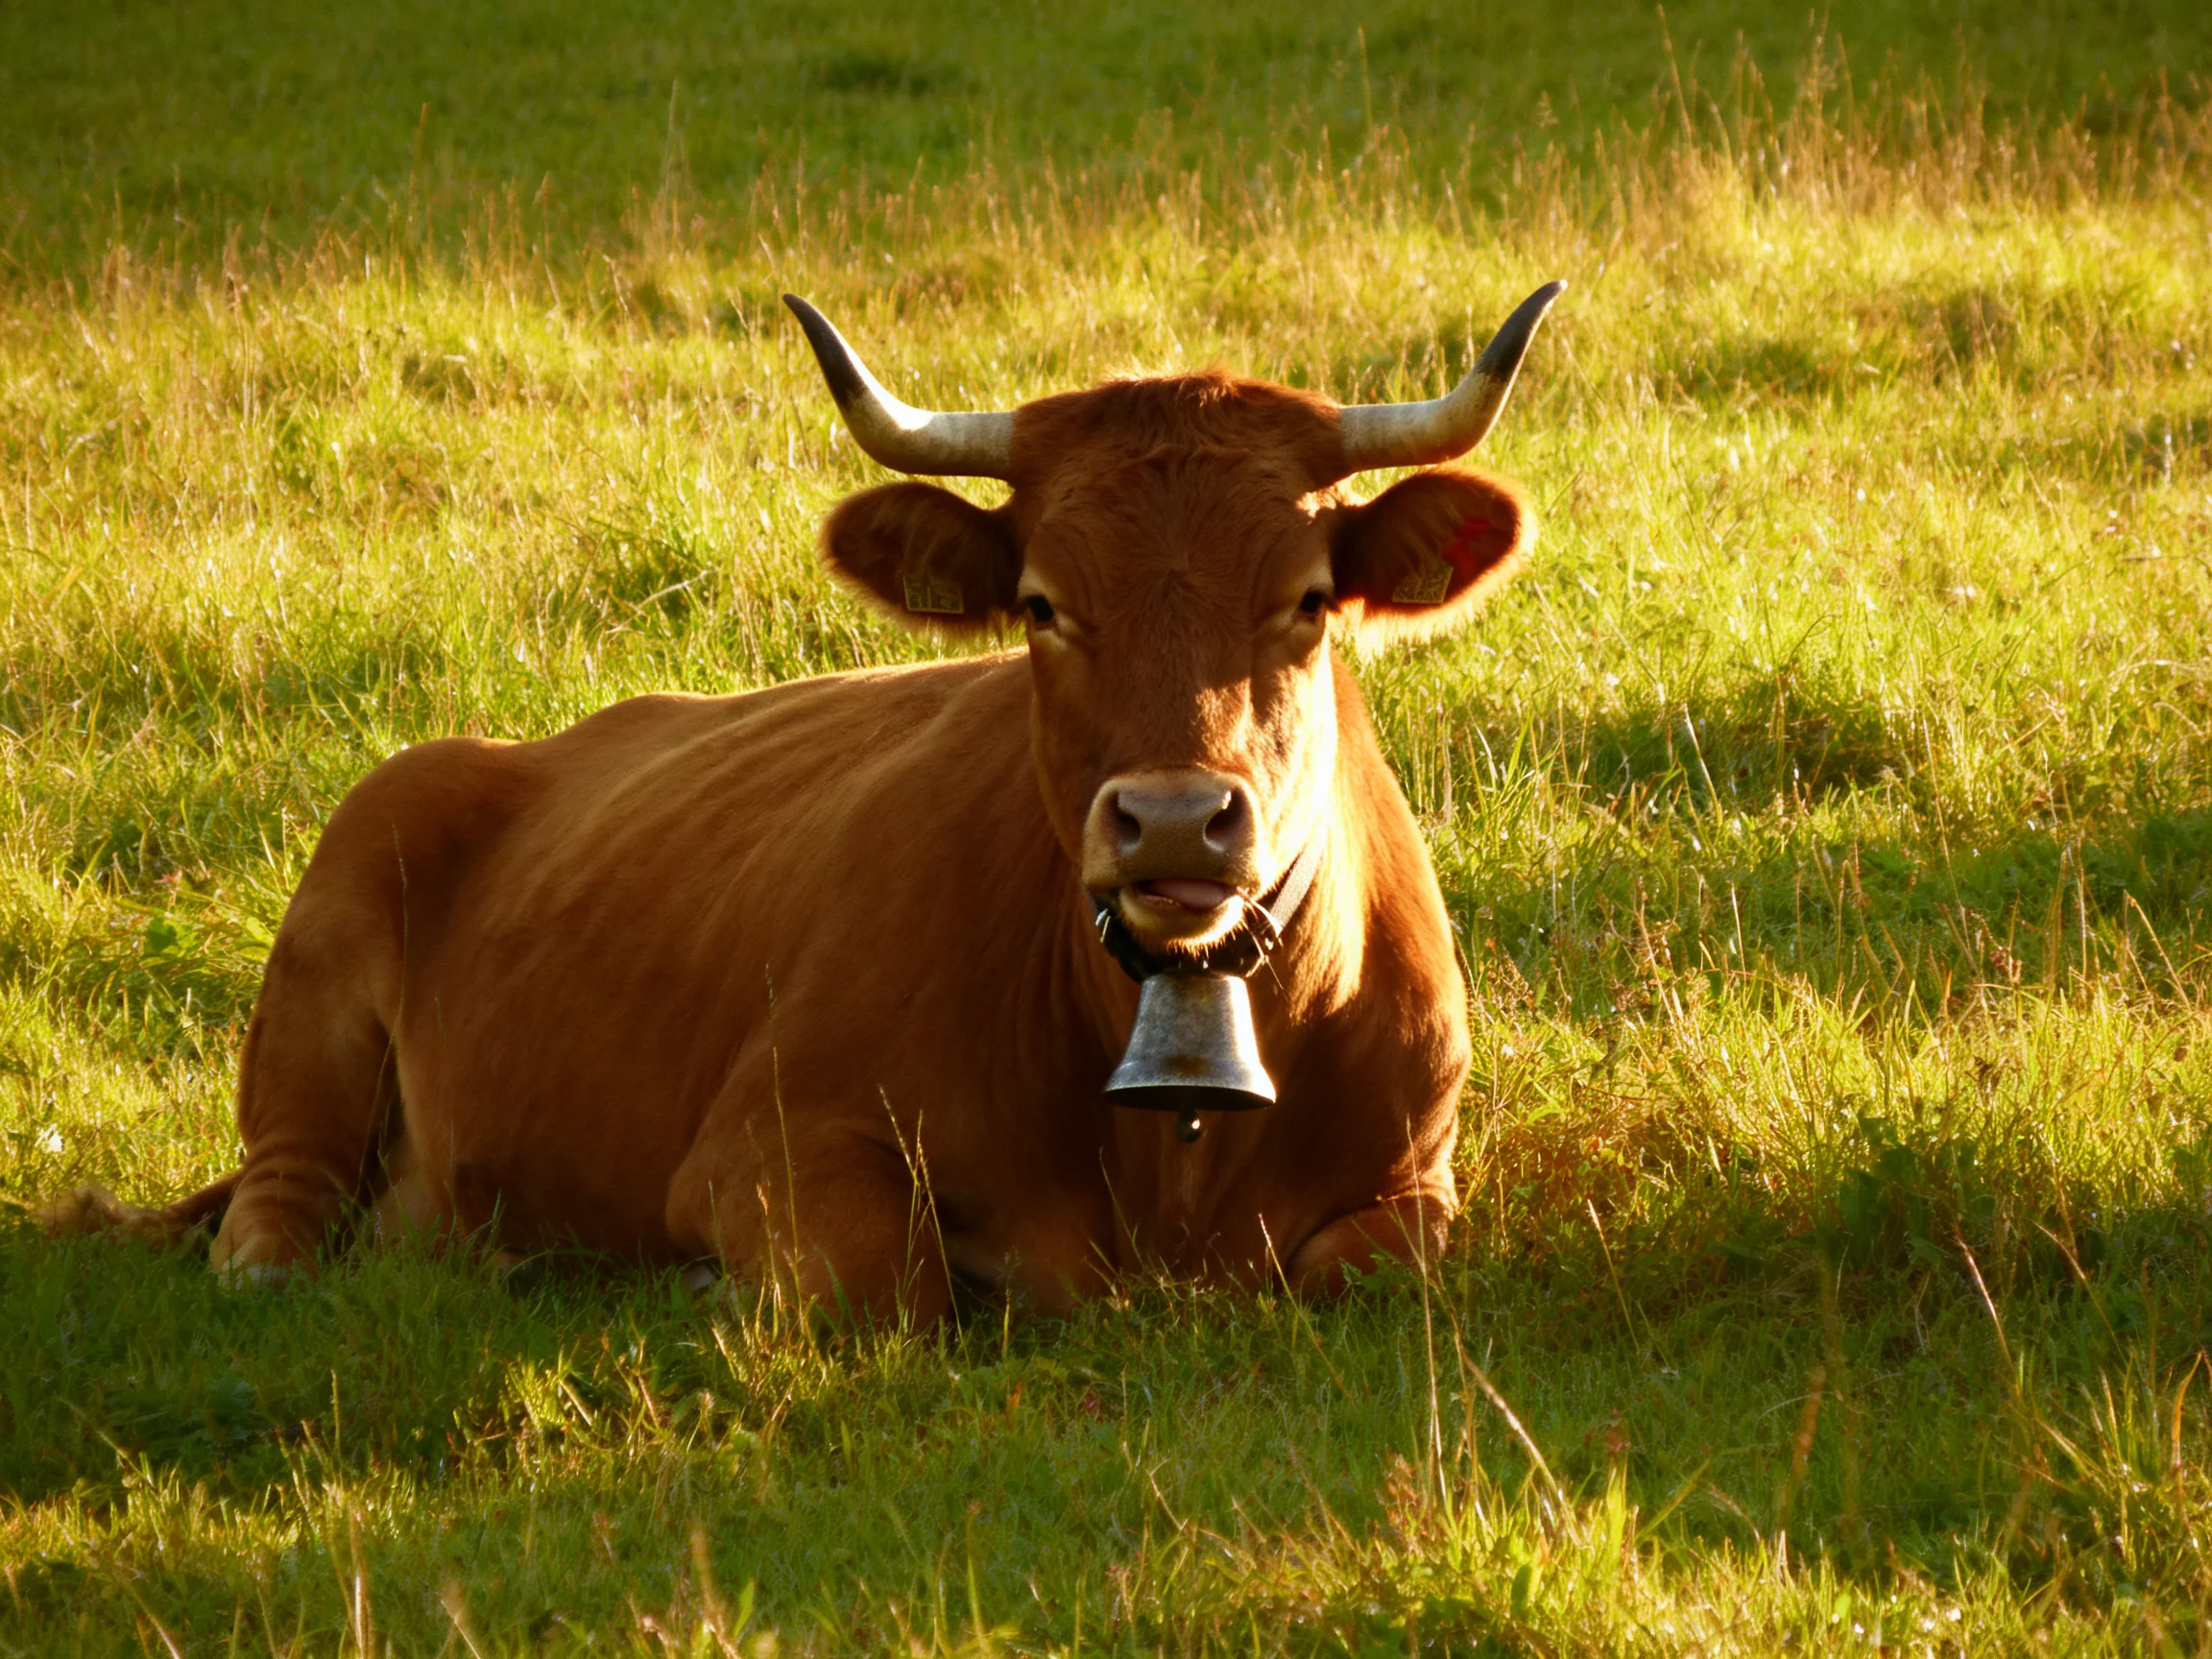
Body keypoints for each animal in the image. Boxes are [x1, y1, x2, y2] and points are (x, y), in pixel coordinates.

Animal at [50, 282, 1563, 1323]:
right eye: (1042, 604)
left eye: (1306, 600)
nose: (1179, 822)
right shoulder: (762, 1147)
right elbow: (887, 1287)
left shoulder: (1417, 1184)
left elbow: (1370, 1267)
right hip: (316, 999)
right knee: (277, 1211)